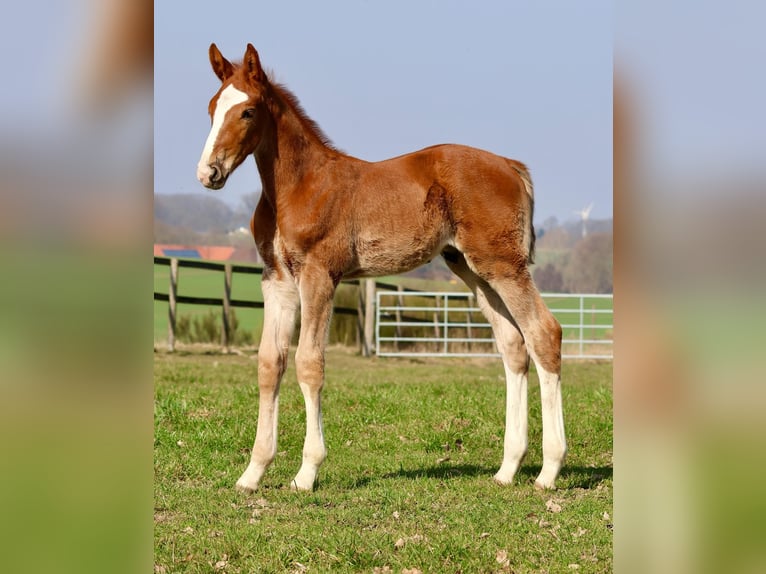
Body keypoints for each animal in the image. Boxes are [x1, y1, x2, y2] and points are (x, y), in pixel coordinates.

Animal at [197, 43, 566, 492]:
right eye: (212, 108)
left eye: (247, 112)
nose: (208, 172)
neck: (299, 186)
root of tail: (512, 166)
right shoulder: (277, 280)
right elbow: (270, 364)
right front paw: (252, 472)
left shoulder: (319, 275)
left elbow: (309, 364)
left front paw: (307, 472)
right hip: (473, 269)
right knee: (513, 345)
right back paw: (508, 468)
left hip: (503, 264)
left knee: (543, 333)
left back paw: (549, 471)